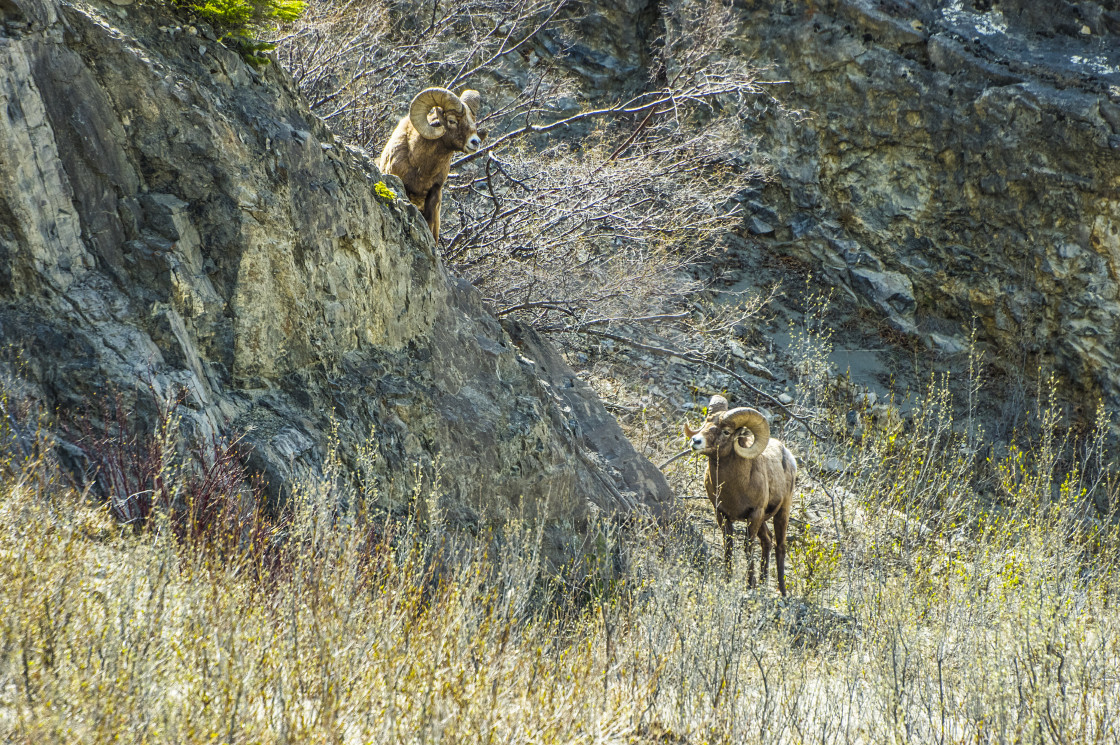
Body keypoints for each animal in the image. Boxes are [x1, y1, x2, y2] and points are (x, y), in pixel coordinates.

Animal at [680, 394, 797, 591]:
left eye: (726, 432)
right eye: (707, 422)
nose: (695, 441)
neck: (735, 487)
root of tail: (788, 455)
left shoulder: (754, 515)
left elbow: (748, 548)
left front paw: (749, 585)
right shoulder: (722, 515)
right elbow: (729, 546)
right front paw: (728, 581)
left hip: (782, 511)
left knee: (779, 546)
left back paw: (782, 591)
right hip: (764, 520)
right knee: (767, 540)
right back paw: (763, 583)